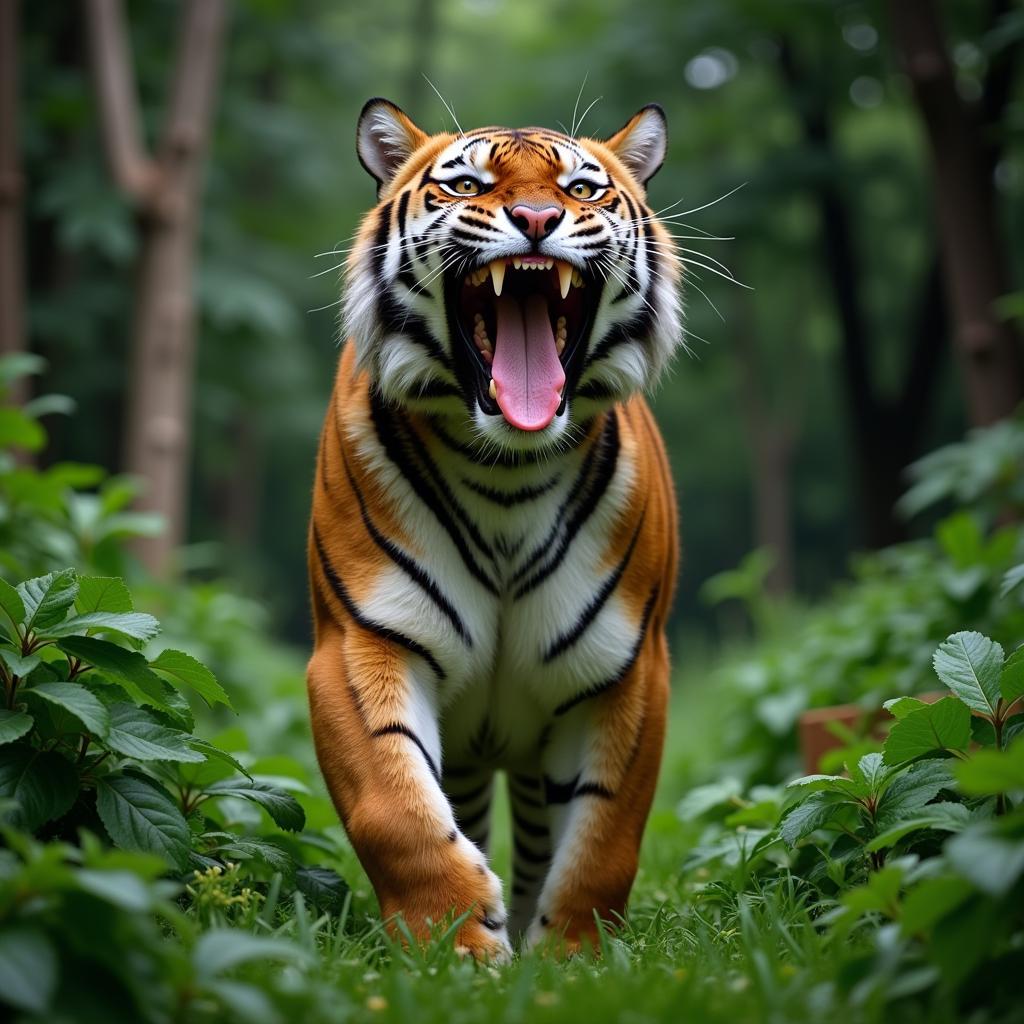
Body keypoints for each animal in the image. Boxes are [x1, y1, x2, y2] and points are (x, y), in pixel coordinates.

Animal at [307, 97, 684, 958]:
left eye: (582, 187)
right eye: (466, 184)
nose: (538, 218)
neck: (507, 471)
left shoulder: (625, 667)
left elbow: (605, 838)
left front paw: (572, 958)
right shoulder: (360, 640)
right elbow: (397, 809)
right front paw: (457, 944)